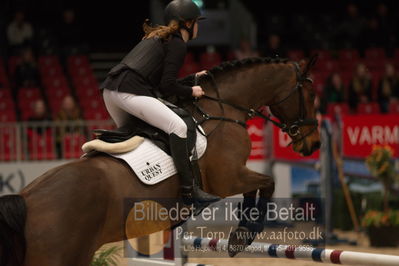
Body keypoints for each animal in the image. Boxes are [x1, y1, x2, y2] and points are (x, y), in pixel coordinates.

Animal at [0, 55, 320, 264]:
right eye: (310, 93)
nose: (313, 143)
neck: (223, 108)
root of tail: (26, 199)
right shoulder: (227, 178)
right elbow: (267, 182)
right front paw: (243, 234)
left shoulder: (234, 177)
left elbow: (259, 187)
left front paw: (243, 231)